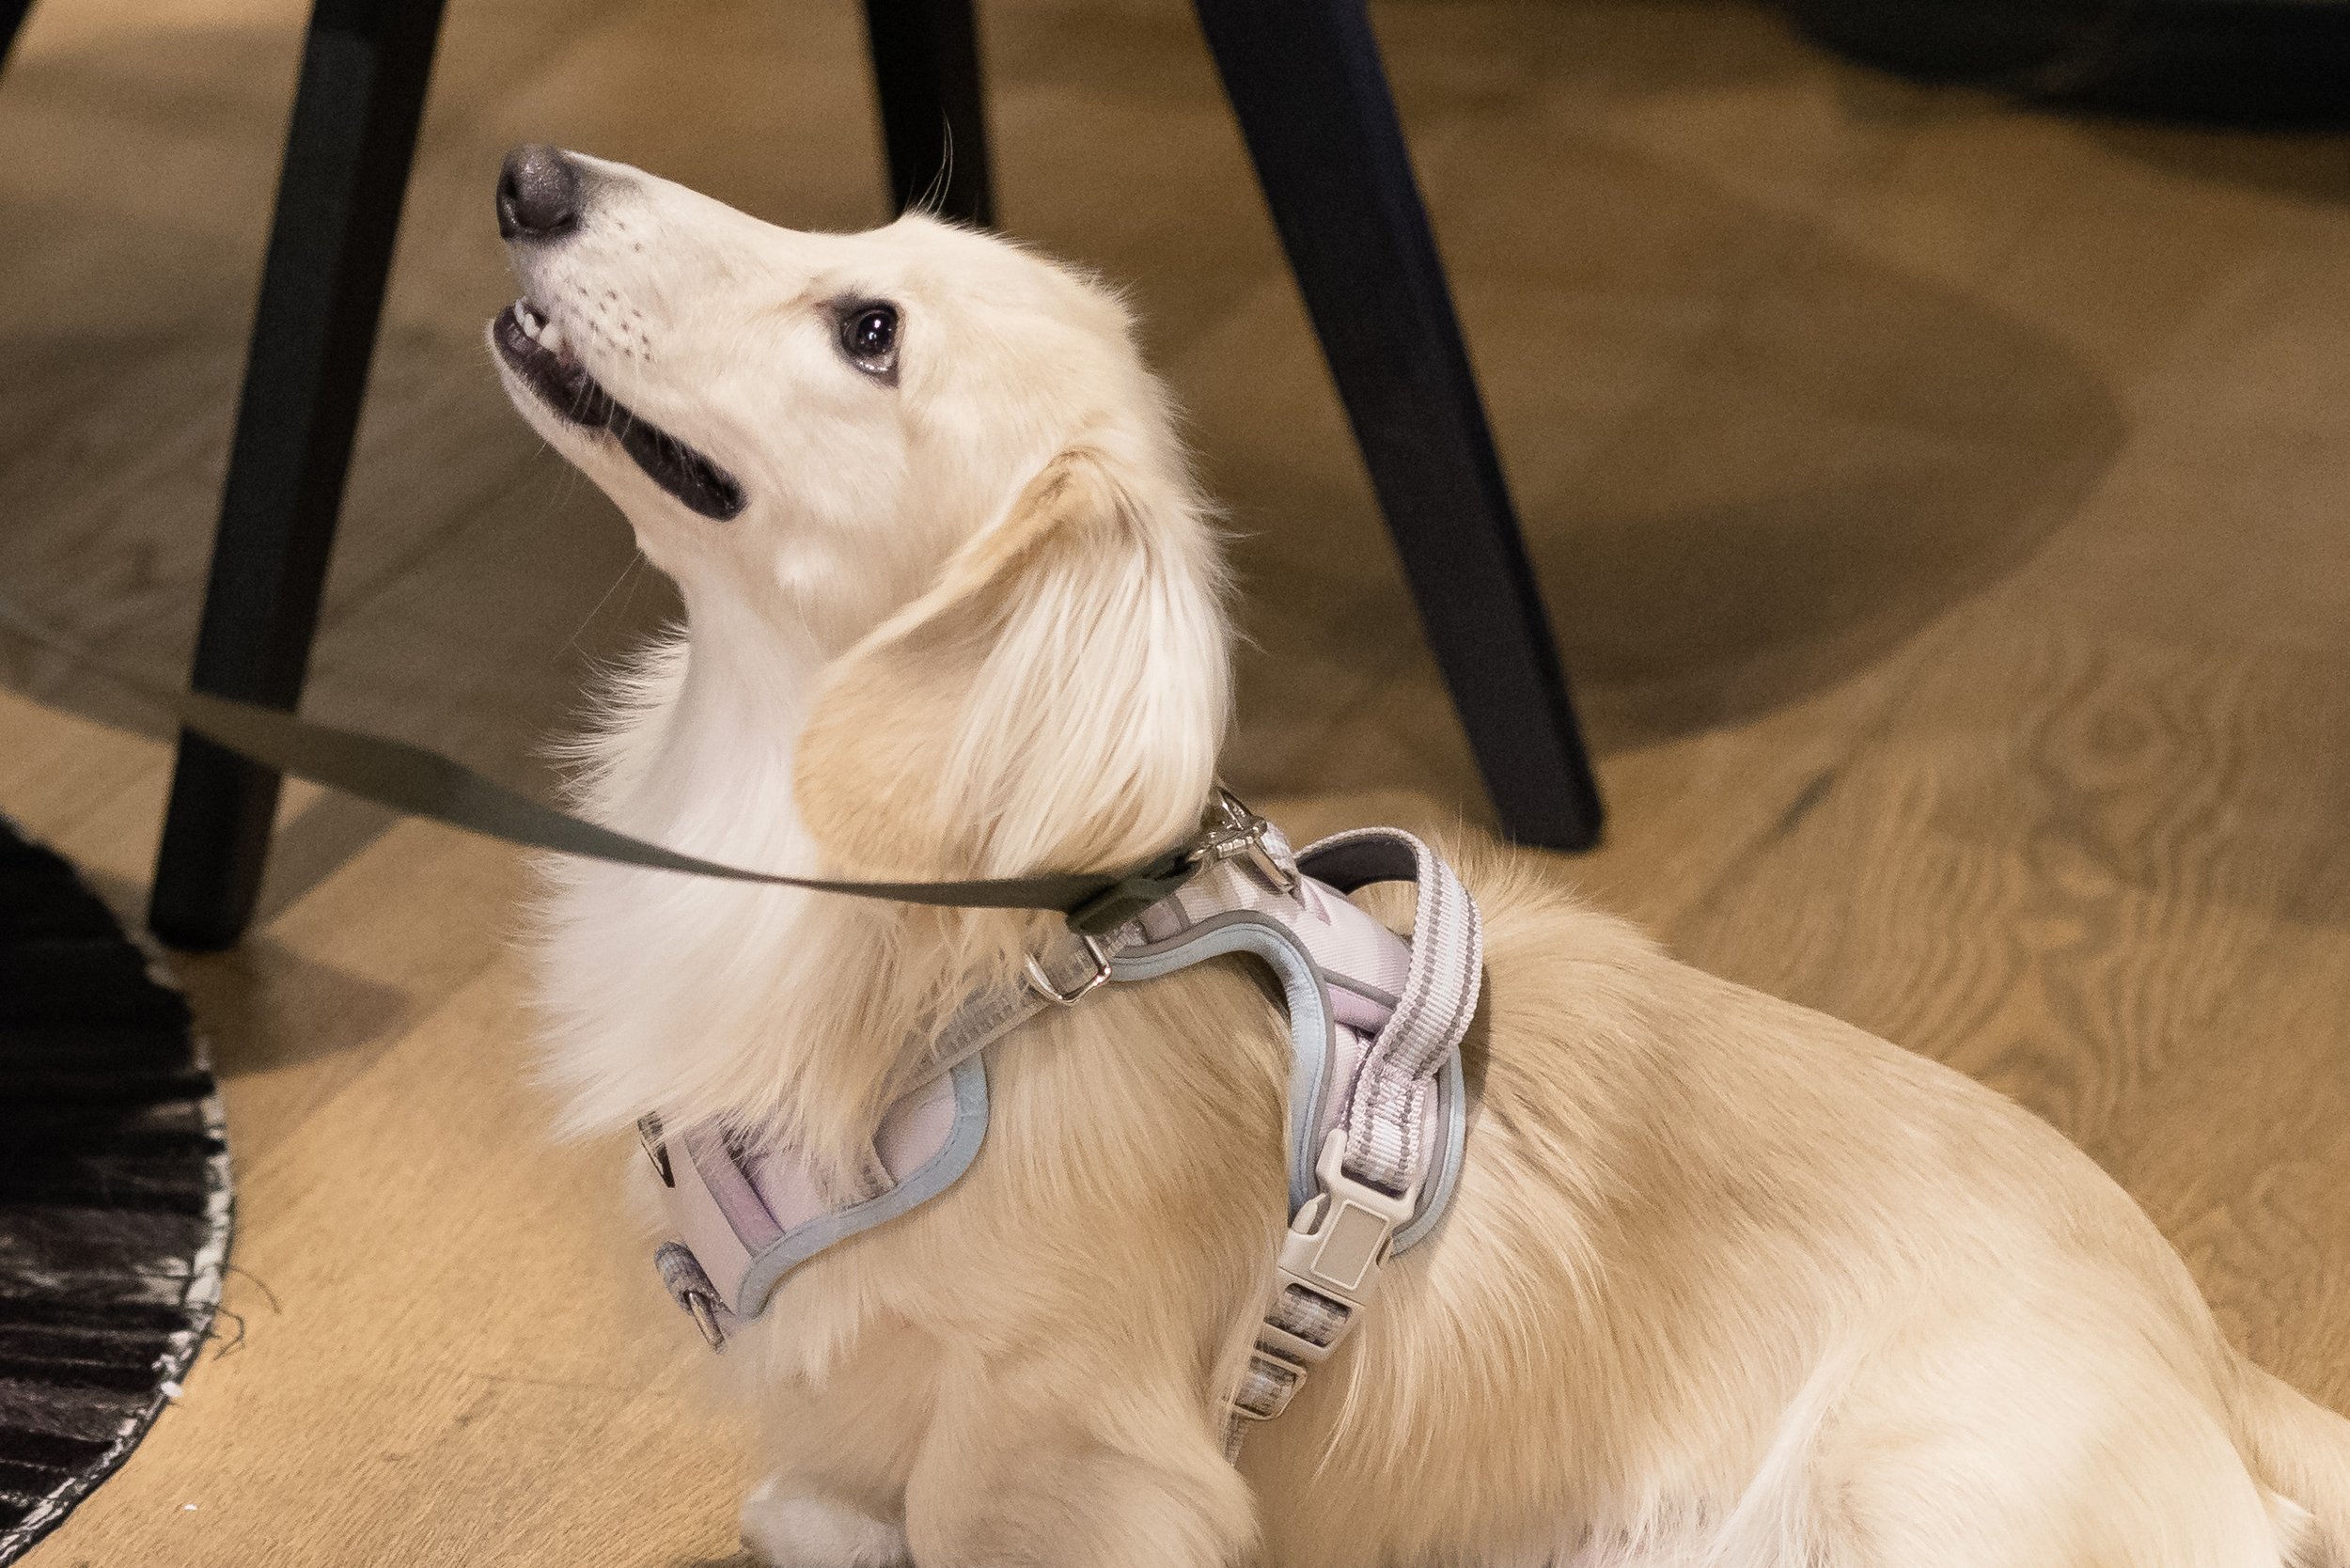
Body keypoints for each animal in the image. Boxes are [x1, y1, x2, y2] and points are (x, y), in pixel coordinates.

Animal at [490, 144, 2350, 1567]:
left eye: (866, 331)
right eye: (853, 240)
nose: (528, 178)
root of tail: (2224, 1366)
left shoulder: (1061, 1432)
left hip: (1910, 1485)